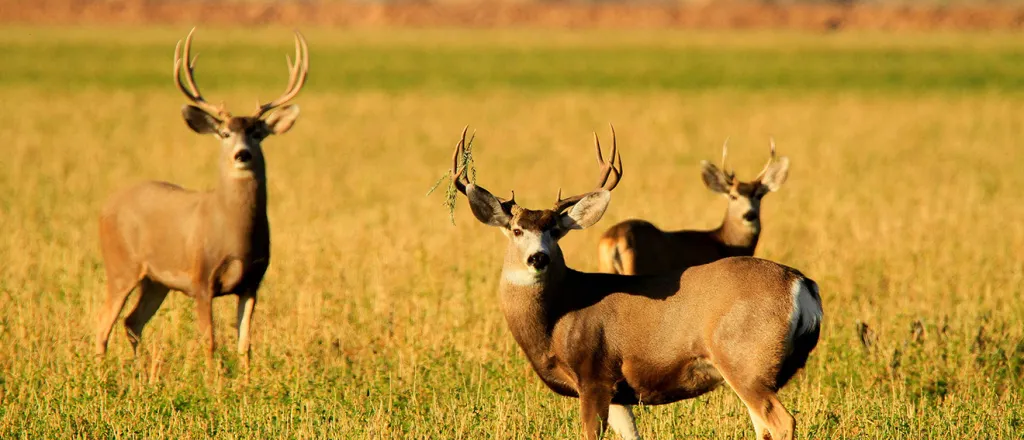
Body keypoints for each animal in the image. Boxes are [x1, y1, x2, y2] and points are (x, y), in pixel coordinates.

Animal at [93, 25, 307, 366]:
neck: (234, 233)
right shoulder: (201, 278)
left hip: (156, 280)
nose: (242, 154)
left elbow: (245, 345)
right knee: (103, 325)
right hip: (120, 265)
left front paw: (245, 377)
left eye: (257, 133)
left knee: (132, 322)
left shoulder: (253, 283)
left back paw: (138, 370)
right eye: (224, 133)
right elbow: (210, 342)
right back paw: (101, 372)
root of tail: (107, 205)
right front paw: (212, 378)